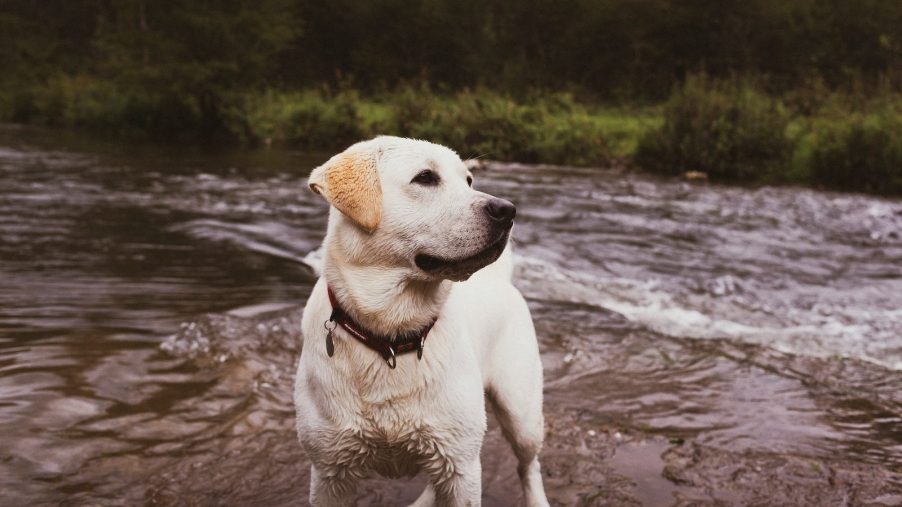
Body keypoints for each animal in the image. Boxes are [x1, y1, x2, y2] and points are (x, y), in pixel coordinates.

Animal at [296, 137, 552, 506]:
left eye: (469, 181)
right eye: (426, 177)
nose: (507, 210)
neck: (391, 336)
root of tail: (500, 278)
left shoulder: (462, 465)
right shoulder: (330, 471)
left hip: (521, 411)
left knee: (529, 464)